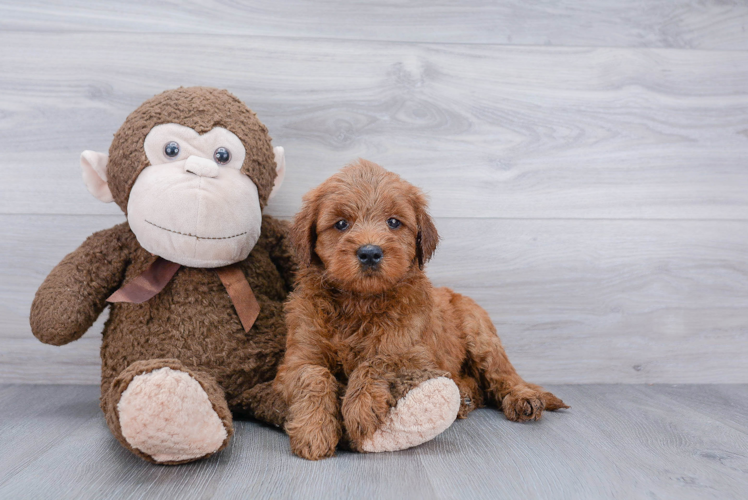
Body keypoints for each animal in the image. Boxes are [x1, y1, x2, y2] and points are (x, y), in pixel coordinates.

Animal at [274, 161, 568, 460]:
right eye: (341, 224)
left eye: (394, 222)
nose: (370, 253)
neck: (360, 302)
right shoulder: (297, 357)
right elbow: (312, 376)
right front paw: (313, 431)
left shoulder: (416, 353)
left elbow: (379, 361)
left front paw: (359, 407)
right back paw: (464, 396)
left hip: (481, 333)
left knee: (503, 374)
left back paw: (522, 397)